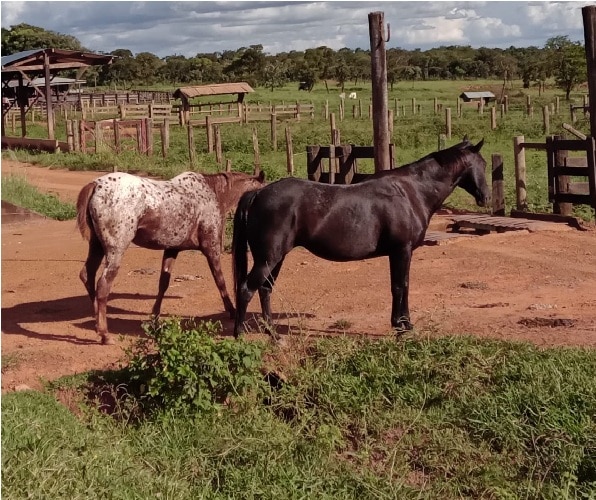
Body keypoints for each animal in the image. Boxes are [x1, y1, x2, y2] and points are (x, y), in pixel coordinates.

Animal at [76, 169, 266, 344]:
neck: (214, 193)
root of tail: (96, 185)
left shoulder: (172, 249)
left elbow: (163, 284)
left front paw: (154, 317)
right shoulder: (211, 248)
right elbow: (220, 280)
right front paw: (232, 310)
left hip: (97, 247)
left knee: (87, 275)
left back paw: (97, 323)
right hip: (115, 251)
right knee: (103, 286)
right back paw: (104, 334)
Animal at [233, 139, 488, 338]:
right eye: (481, 165)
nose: (485, 197)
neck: (410, 192)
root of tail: (258, 193)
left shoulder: (400, 252)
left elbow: (400, 286)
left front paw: (402, 324)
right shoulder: (402, 250)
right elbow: (400, 286)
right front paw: (402, 328)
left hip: (275, 258)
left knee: (265, 289)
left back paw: (273, 333)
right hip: (268, 259)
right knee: (246, 289)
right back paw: (239, 335)